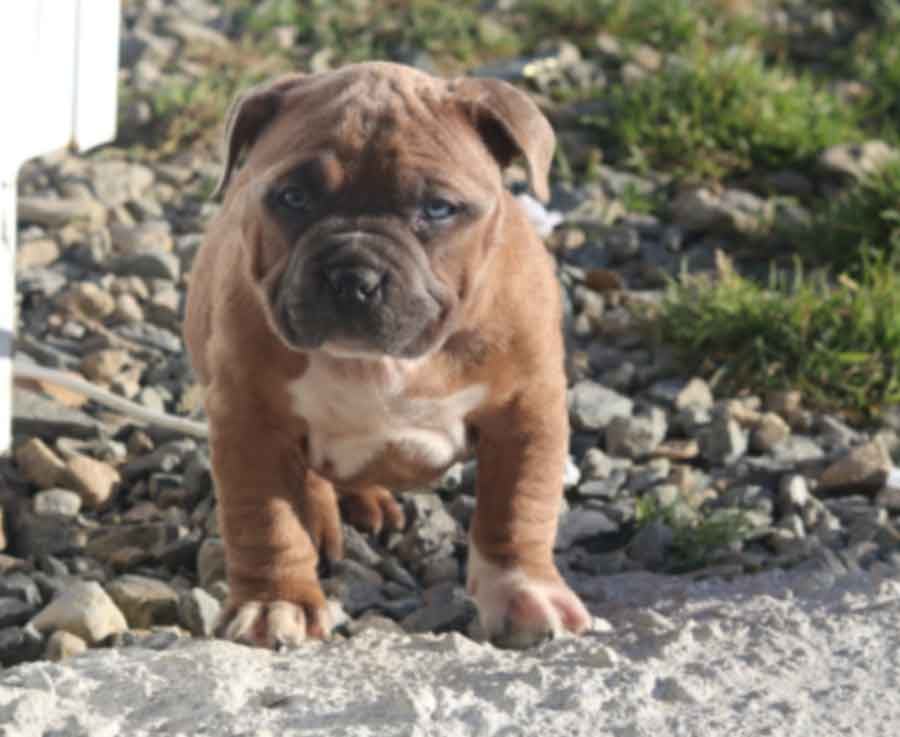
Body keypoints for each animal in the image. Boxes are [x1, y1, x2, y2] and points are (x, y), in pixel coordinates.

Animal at [183, 63, 592, 648]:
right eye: (292, 198)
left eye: (438, 209)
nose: (353, 277)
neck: (377, 362)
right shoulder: (248, 419)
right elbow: (265, 517)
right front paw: (275, 603)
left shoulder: (525, 409)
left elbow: (518, 505)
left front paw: (525, 593)